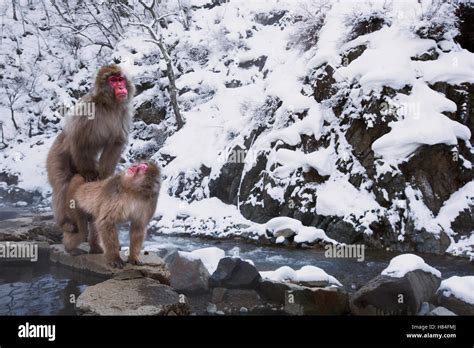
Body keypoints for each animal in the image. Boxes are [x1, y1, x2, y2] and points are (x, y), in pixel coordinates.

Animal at [46, 64, 134, 253]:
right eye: (113, 80)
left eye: (120, 79)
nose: (121, 87)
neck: (108, 105)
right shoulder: (87, 109)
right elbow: (80, 141)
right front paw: (89, 174)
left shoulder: (123, 112)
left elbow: (115, 143)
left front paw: (105, 174)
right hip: (57, 154)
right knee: (62, 182)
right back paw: (65, 224)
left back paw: (95, 245)